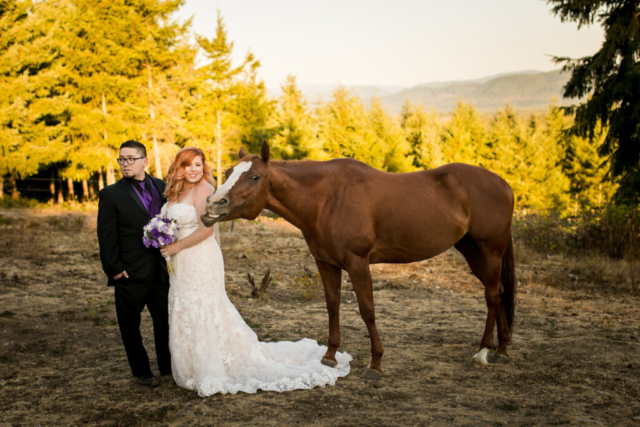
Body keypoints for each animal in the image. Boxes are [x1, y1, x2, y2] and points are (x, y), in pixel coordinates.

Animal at [201, 142, 516, 380]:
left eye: (254, 177)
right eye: (227, 172)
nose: (212, 205)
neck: (327, 199)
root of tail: (504, 184)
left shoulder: (357, 263)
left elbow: (367, 310)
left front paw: (376, 363)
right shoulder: (325, 263)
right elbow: (333, 305)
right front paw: (329, 356)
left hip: (490, 249)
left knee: (491, 295)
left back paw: (482, 353)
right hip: (472, 251)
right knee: (499, 292)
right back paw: (502, 351)